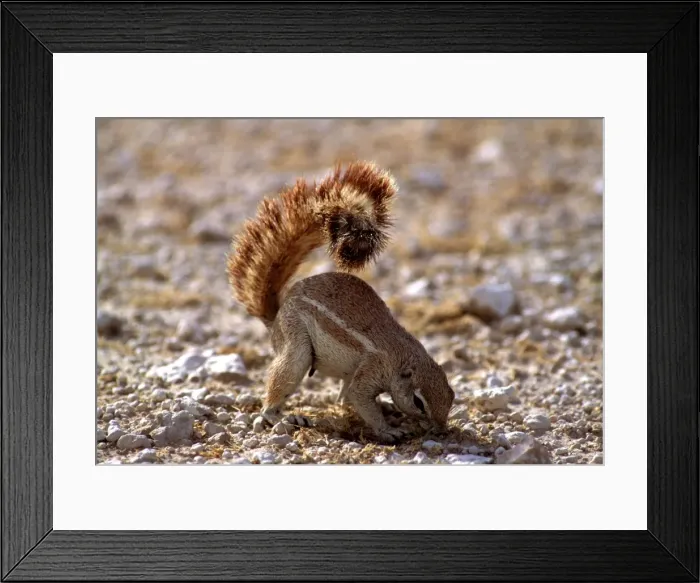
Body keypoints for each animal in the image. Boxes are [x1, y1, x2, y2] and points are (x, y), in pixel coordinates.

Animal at [226, 160, 455, 443]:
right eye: (419, 402)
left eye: (452, 395)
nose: (442, 431)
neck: (402, 357)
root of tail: (276, 315)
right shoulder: (372, 369)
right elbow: (360, 398)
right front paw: (388, 430)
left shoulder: (362, 371)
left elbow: (351, 398)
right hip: (295, 347)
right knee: (280, 386)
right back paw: (279, 417)